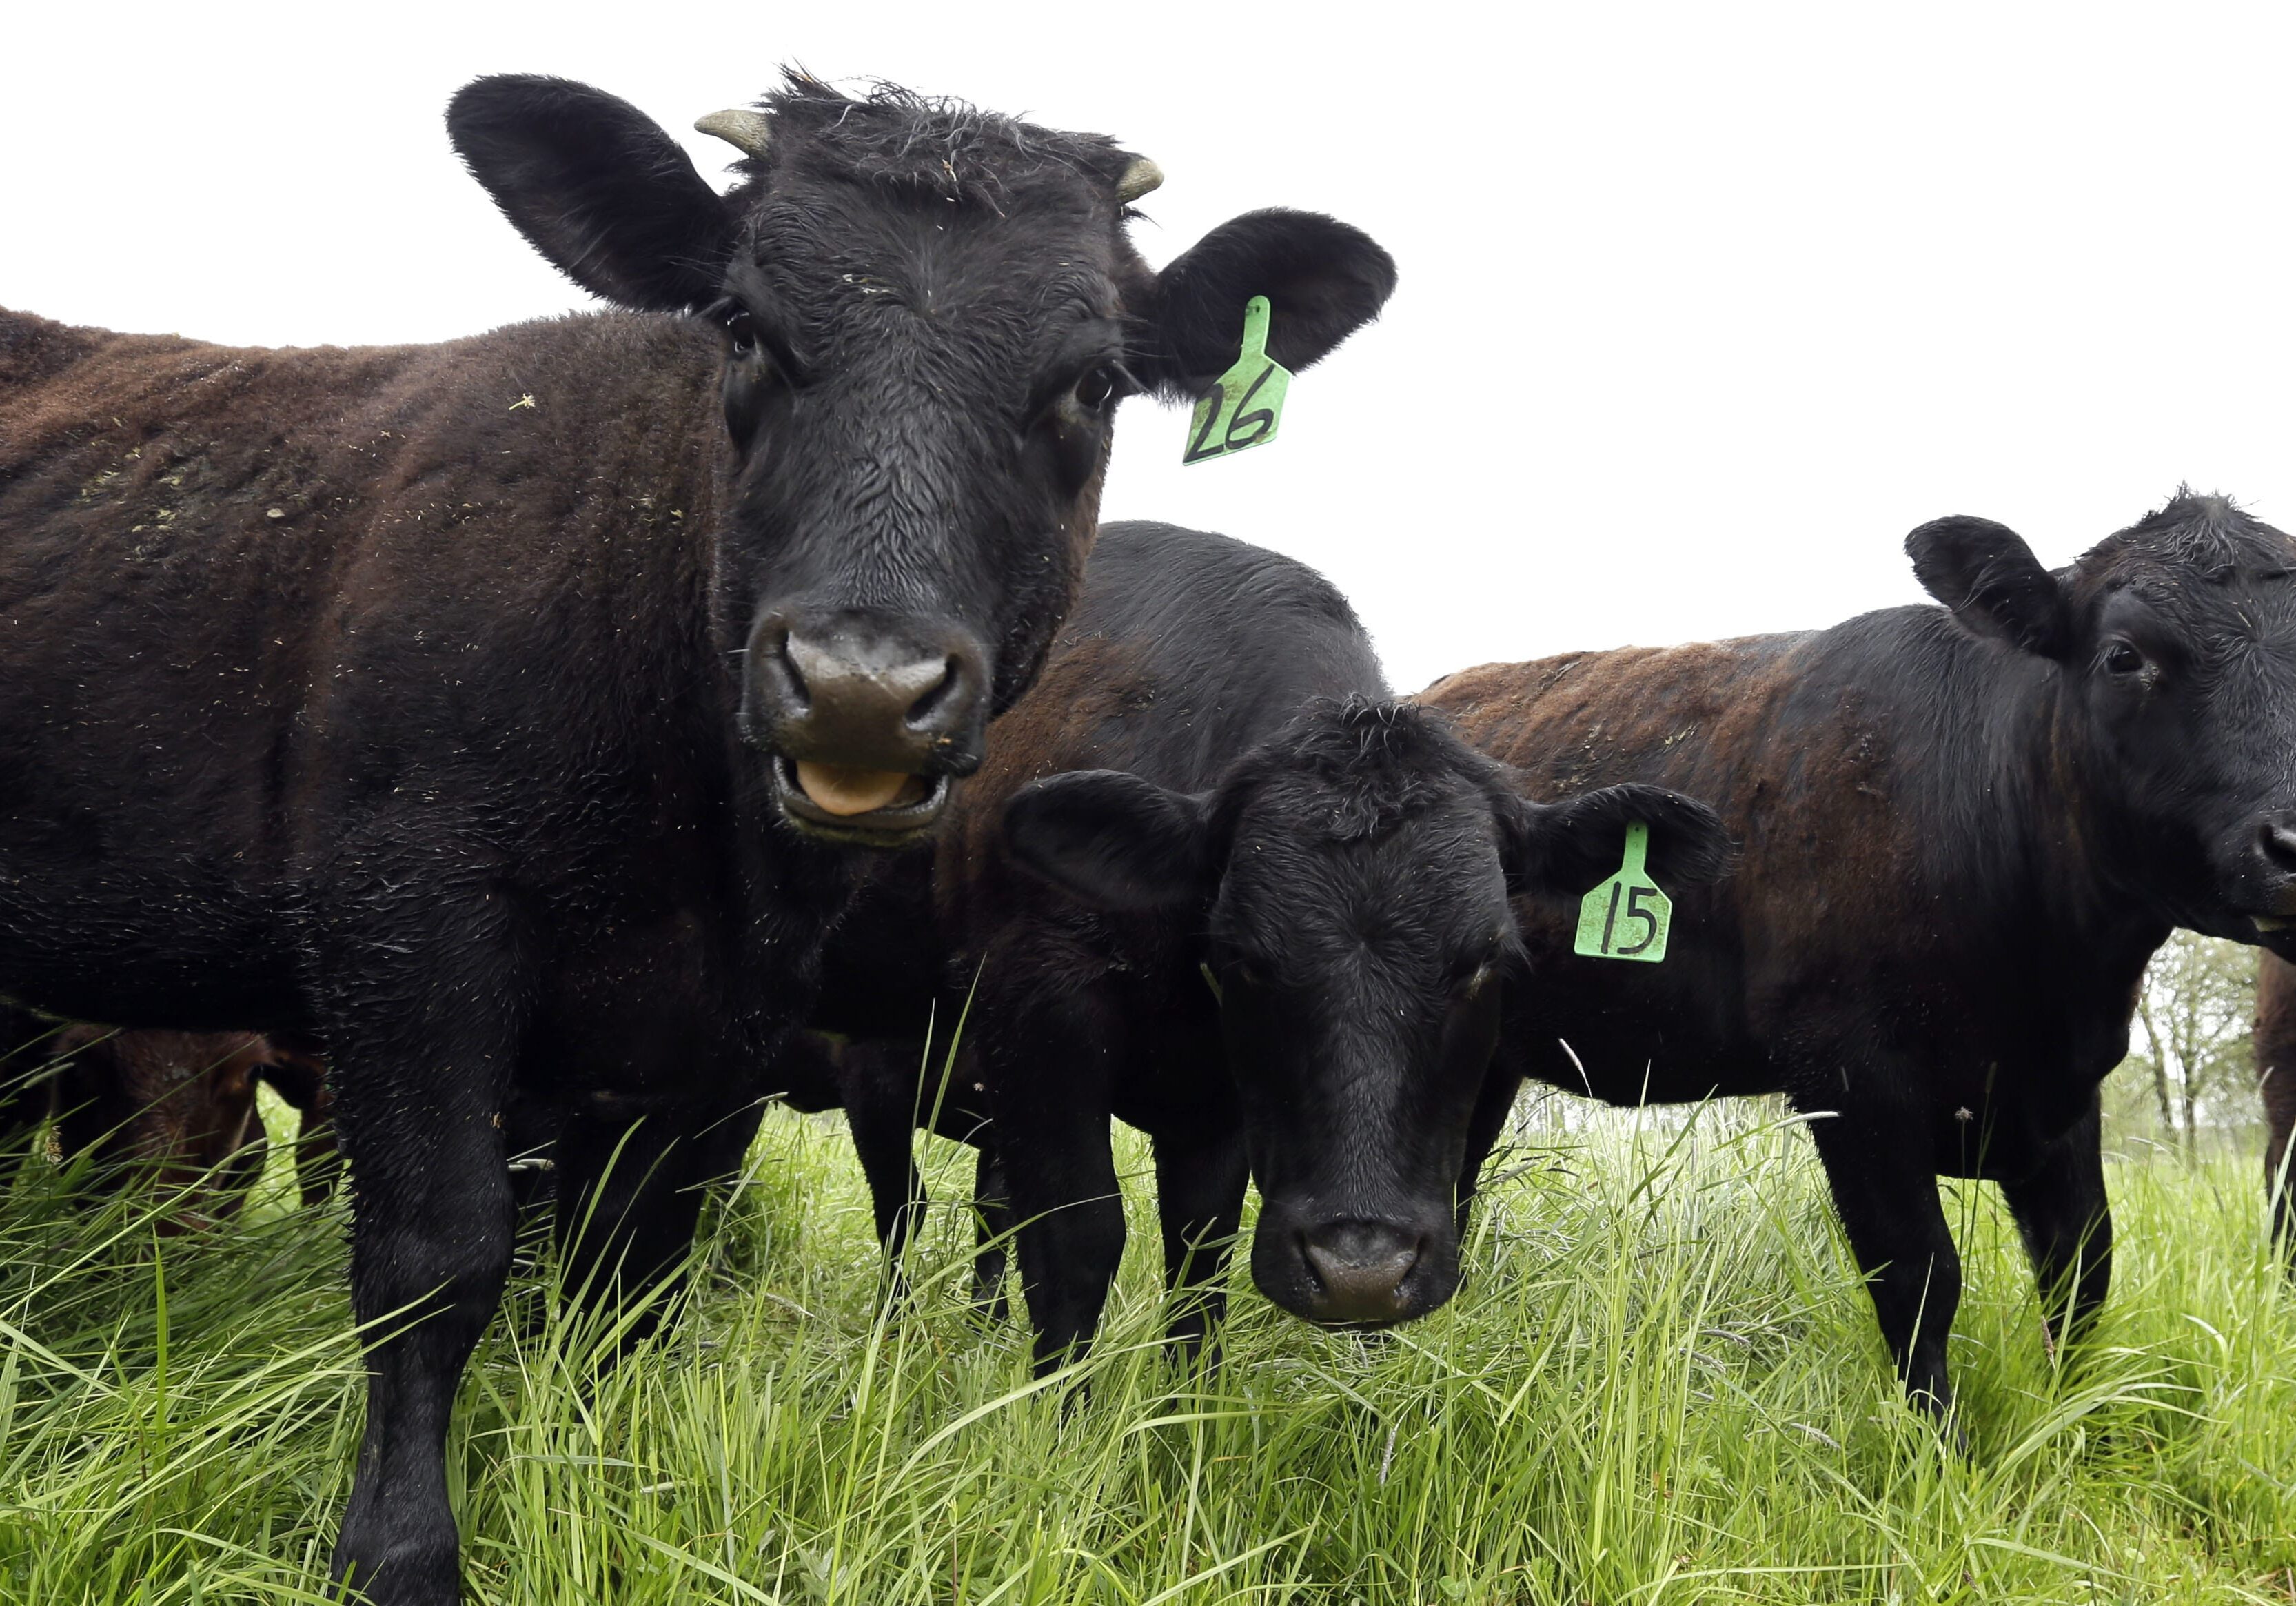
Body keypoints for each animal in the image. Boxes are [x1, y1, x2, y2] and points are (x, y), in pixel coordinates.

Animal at [0, 72, 1395, 1603]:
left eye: (1090, 382)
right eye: (744, 328)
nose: (860, 685)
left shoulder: (701, 1036)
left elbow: (630, 1278)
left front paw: (591, 1485)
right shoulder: (408, 938)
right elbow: (435, 1257)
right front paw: (401, 1549)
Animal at [798, 521, 1731, 1370]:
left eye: (1484, 961)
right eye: (1245, 955)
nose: (1361, 1272)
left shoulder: (1217, 1105)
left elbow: (1196, 1256)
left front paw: (1180, 1425)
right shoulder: (1040, 1014)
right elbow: (1075, 1241)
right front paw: (1062, 1426)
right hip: (875, 1054)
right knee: (903, 1205)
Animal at [1419, 491, 2296, 1428]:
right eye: (2123, 655)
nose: (2293, 841)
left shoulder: (2062, 1096)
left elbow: (2081, 1271)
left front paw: (2074, 1427)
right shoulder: (1848, 1075)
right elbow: (1919, 1279)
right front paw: (1939, 1448)